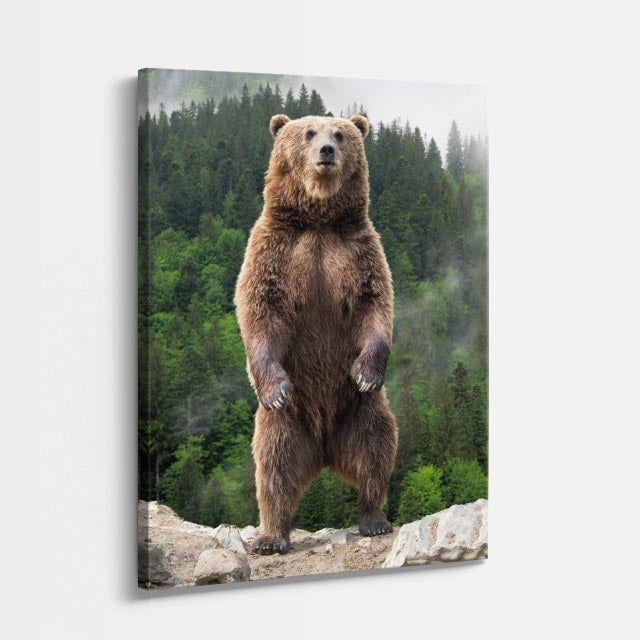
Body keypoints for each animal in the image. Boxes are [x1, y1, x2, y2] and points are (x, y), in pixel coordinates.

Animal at [234, 113, 397, 555]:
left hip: (359, 410)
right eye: (308, 133)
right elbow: (260, 309)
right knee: (273, 467)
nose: (326, 151)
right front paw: (274, 387)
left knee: (376, 448)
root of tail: (324, 448)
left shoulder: (359, 251)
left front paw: (367, 372)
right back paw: (271, 536)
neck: (319, 220)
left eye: (340, 134)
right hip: (288, 423)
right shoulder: (275, 250)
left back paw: (373, 518)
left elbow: (374, 304)